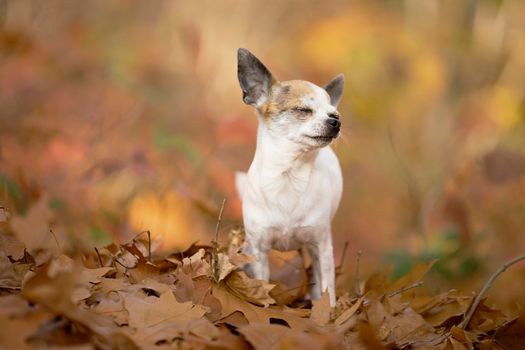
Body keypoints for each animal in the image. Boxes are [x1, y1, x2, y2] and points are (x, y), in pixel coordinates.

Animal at [234, 47, 344, 304]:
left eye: (334, 113)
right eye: (303, 110)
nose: (336, 121)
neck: (288, 175)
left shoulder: (322, 246)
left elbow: (328, 288)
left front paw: (330, 311)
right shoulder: (259, 249)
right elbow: (261, 282)